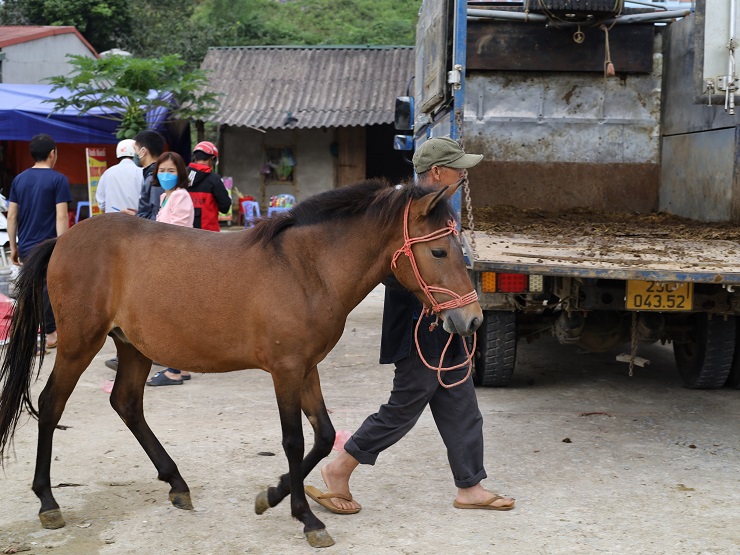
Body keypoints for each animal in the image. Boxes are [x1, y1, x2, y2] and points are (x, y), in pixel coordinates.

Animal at [0, 178, 482, 548]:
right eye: (439, 252)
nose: (471, 319)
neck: (307, 269)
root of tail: (64, 238)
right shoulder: (286, 371)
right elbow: (293, 441)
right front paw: (306, 518)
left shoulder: (307, 368)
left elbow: (324, 436)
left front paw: (272, 495)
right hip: (79, 344)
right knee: (52, 404)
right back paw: (48, 501)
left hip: (133, 346)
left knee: (126, 404)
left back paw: (176, 483)